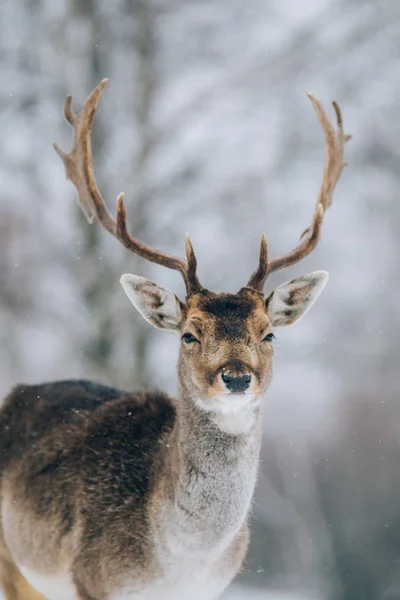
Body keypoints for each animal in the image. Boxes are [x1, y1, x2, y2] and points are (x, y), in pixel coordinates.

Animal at [0, 81, 350, 600]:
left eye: (267, 333)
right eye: (189, 334)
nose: (236, 377)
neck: (177, 563)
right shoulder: (92, 581)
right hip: (14, 563)